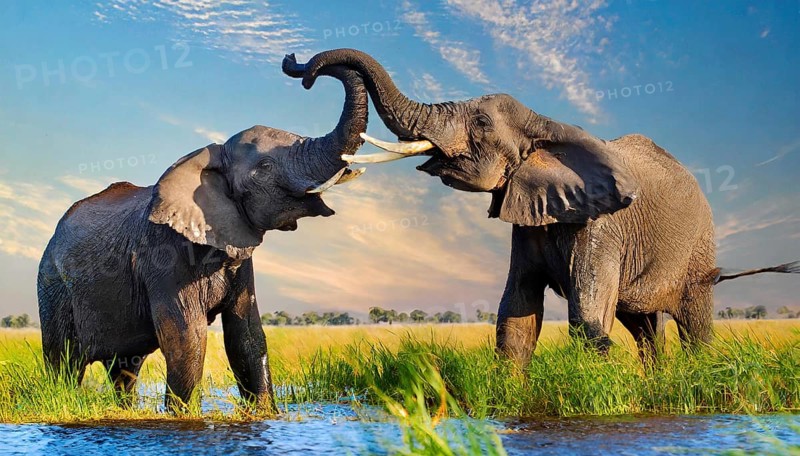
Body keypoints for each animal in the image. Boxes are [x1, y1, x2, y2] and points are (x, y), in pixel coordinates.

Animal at [37, 58, 368, 412]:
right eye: (265, 167)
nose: (298, 67)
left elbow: (246, 335)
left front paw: (265, 413)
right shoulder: (163, 255)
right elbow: (187, 337)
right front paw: (182, 416)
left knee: (125, 367)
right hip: (52, 285)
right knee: (64, 361)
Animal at [286, 49, 799, 365]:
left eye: (480, 122)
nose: (297, 67)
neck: (546, 123)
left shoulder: (600, 225)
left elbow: (585, 317)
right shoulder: (529, 216)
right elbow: (516, 312)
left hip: (699, 249)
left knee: (694, 321)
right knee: (644, 326)